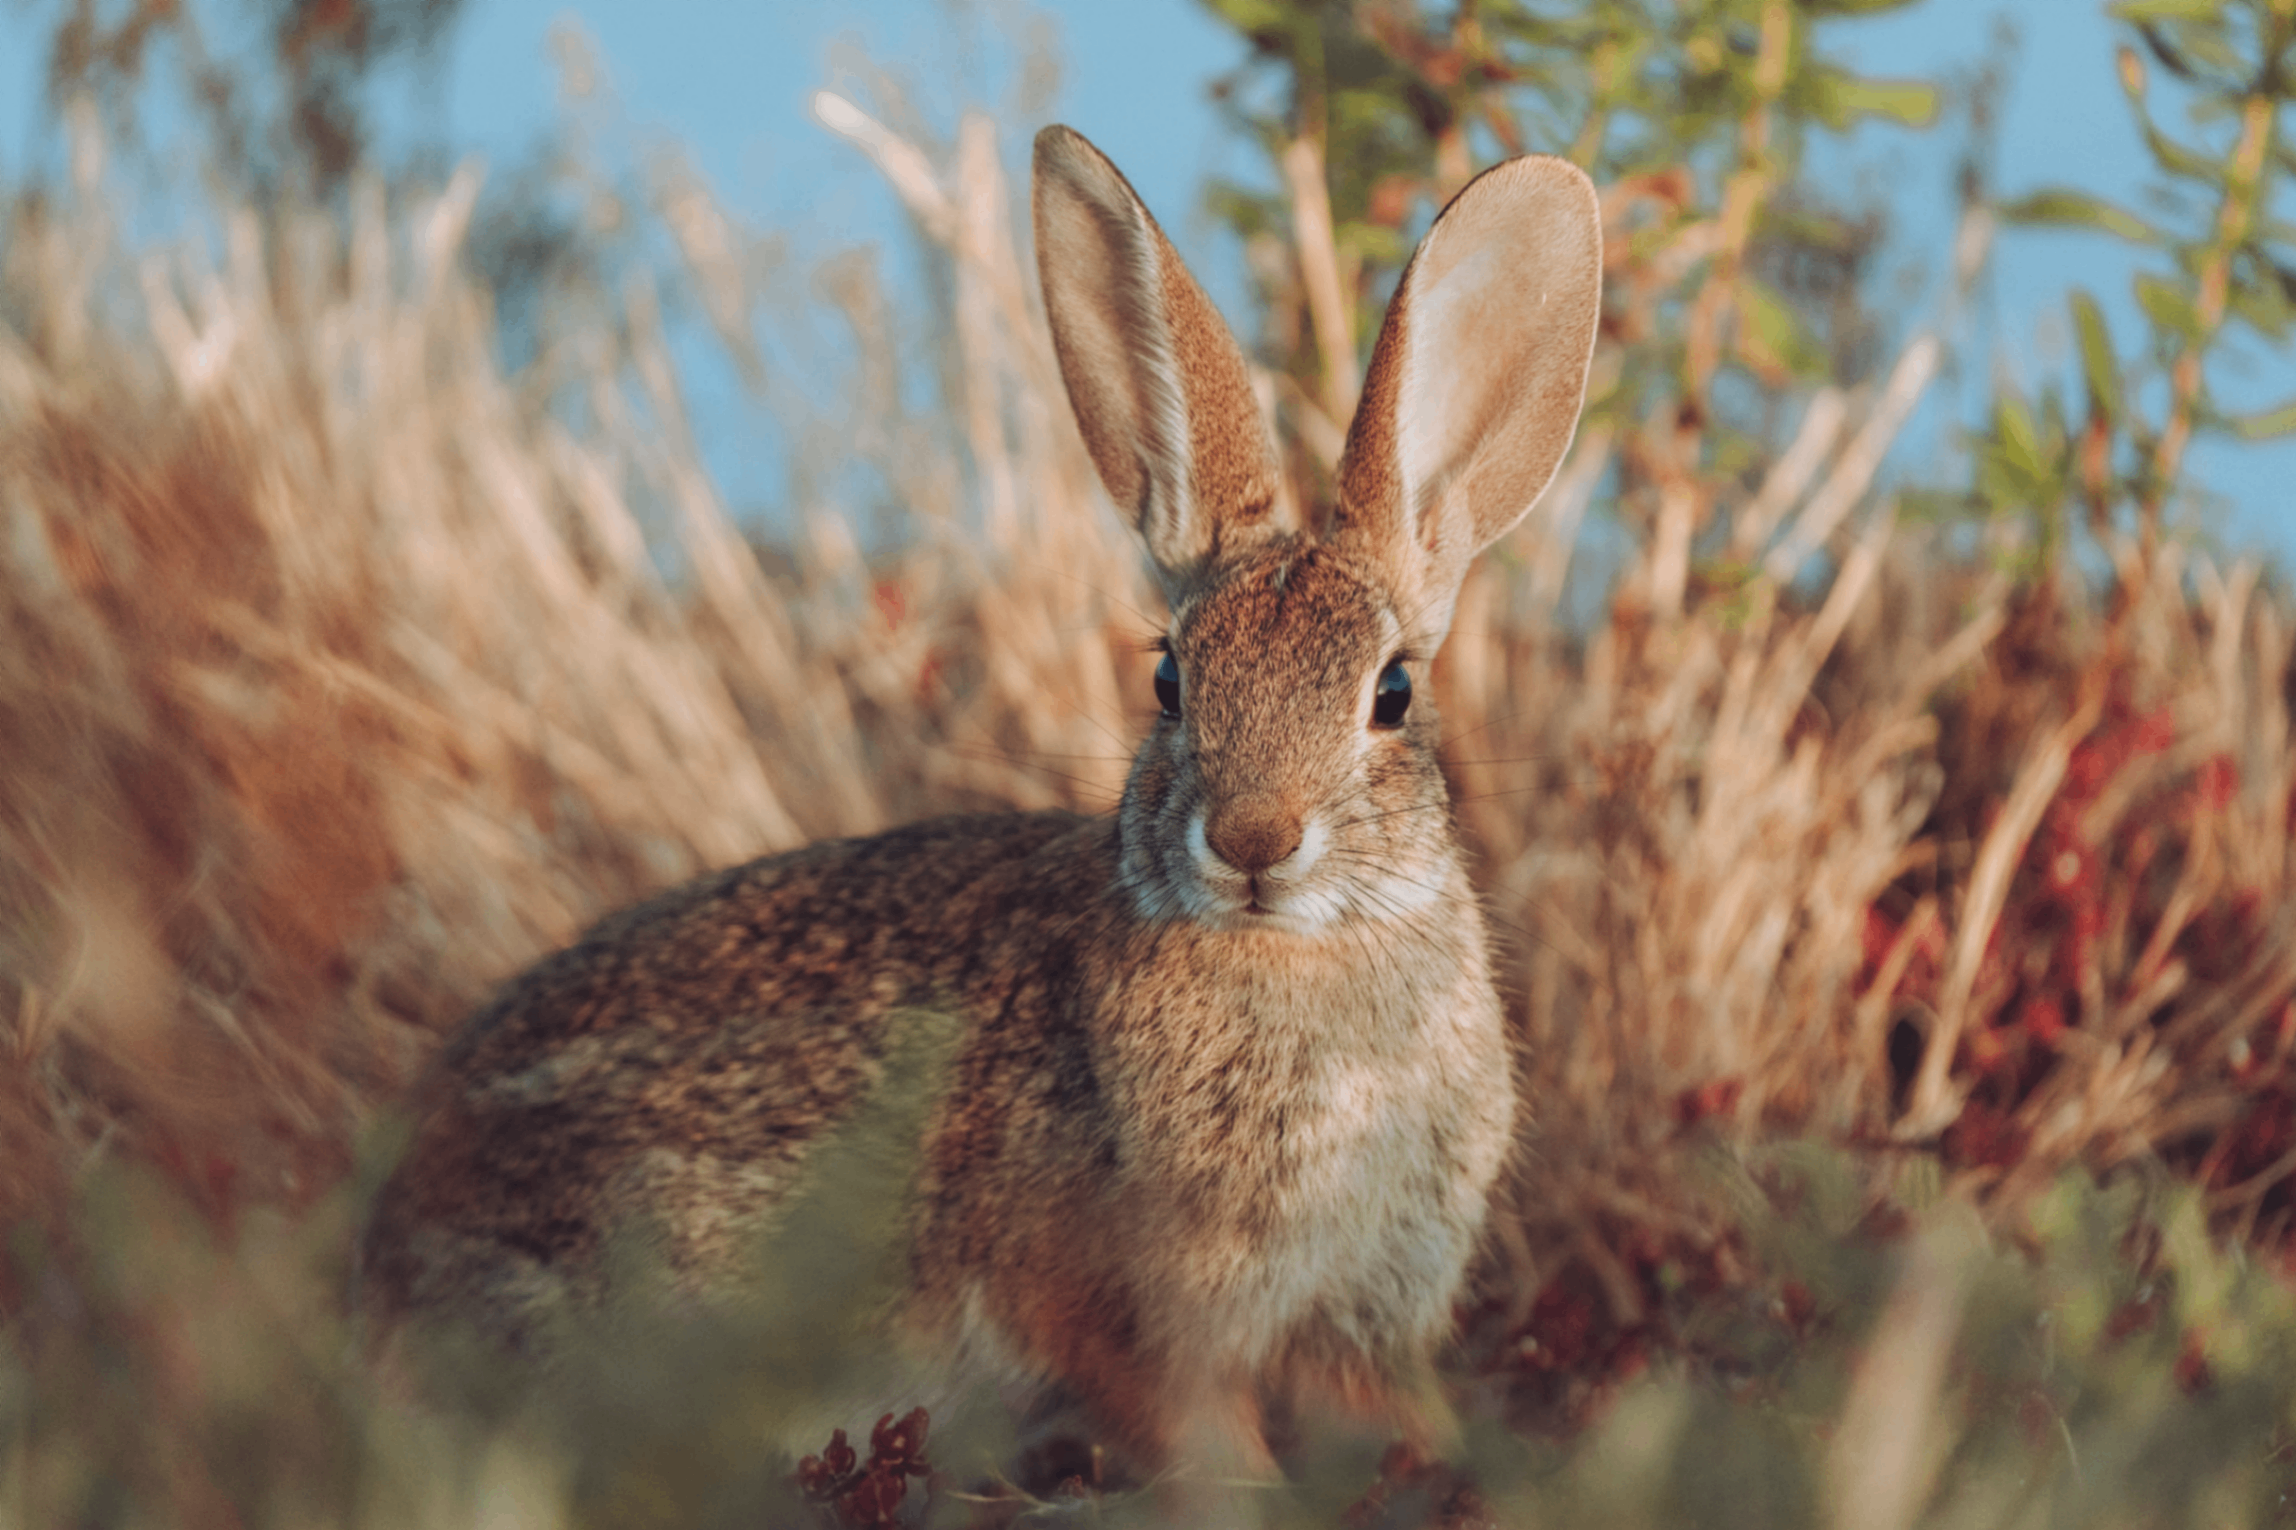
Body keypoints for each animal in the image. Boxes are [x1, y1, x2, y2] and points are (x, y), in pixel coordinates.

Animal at [359, 122, 1603, 1485]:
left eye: (1391, 693)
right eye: (1169, 680)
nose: (1251, 841)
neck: (1301, 960)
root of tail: (387, 1237)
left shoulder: (1365, 1317)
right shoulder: (1130, 1319)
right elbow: (1204, 1438)